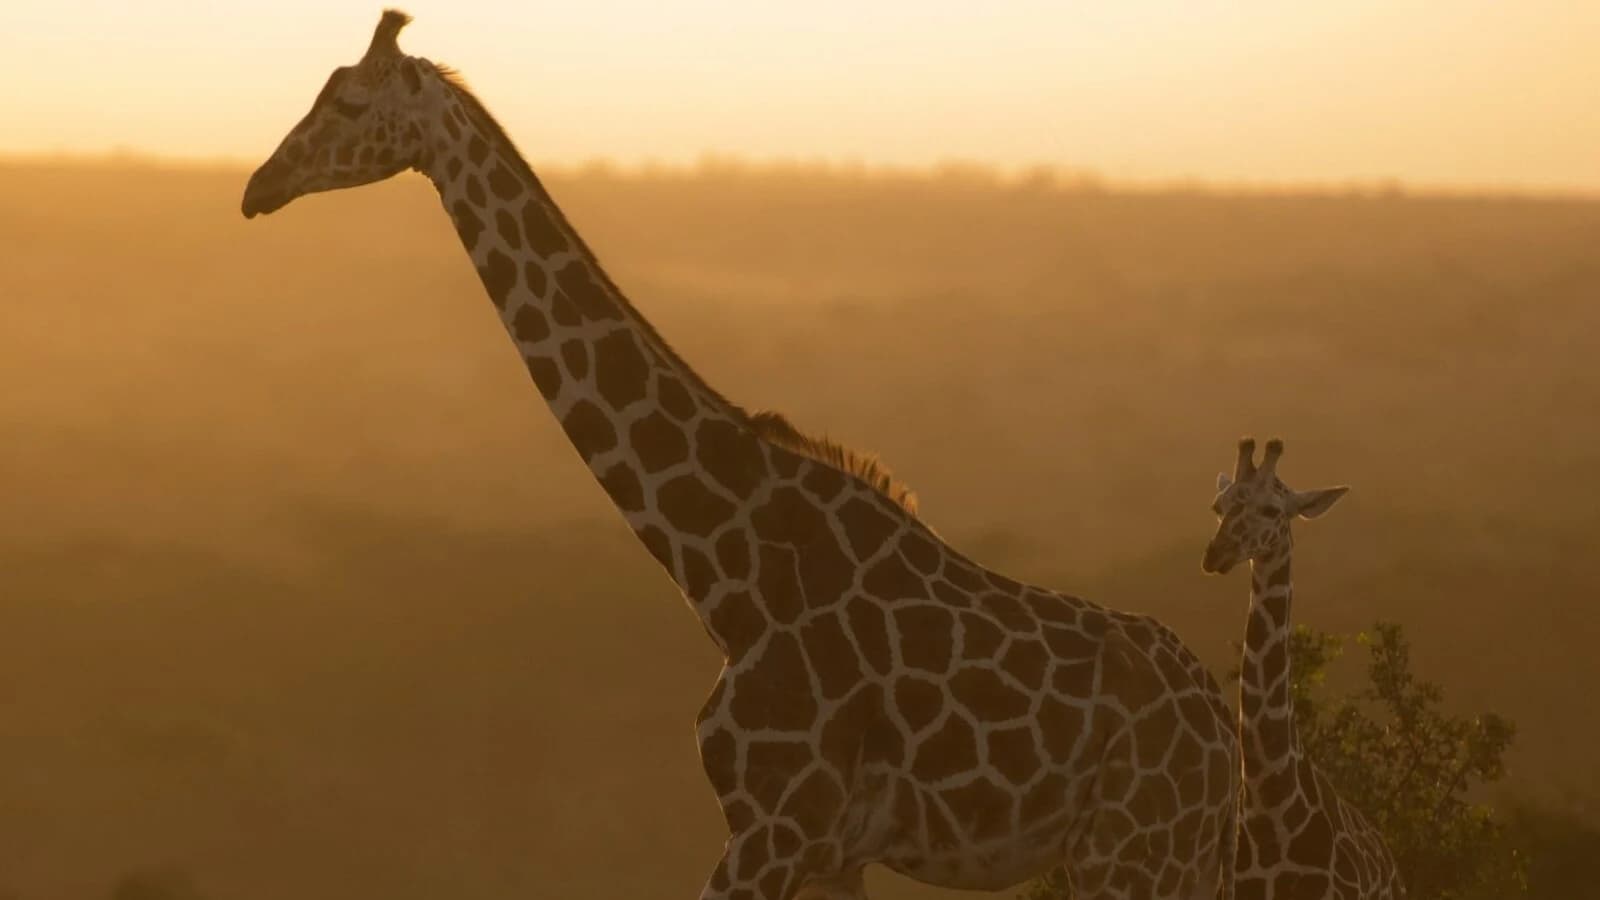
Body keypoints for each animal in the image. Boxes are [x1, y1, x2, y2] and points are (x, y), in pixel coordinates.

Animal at [241, 11, 1240, 899]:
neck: (729, 569)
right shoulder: (827, 852)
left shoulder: (773, 827)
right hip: (1159, 861)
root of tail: (1225, 739)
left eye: (347, 102)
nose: (258, 187)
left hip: (1131, 853)